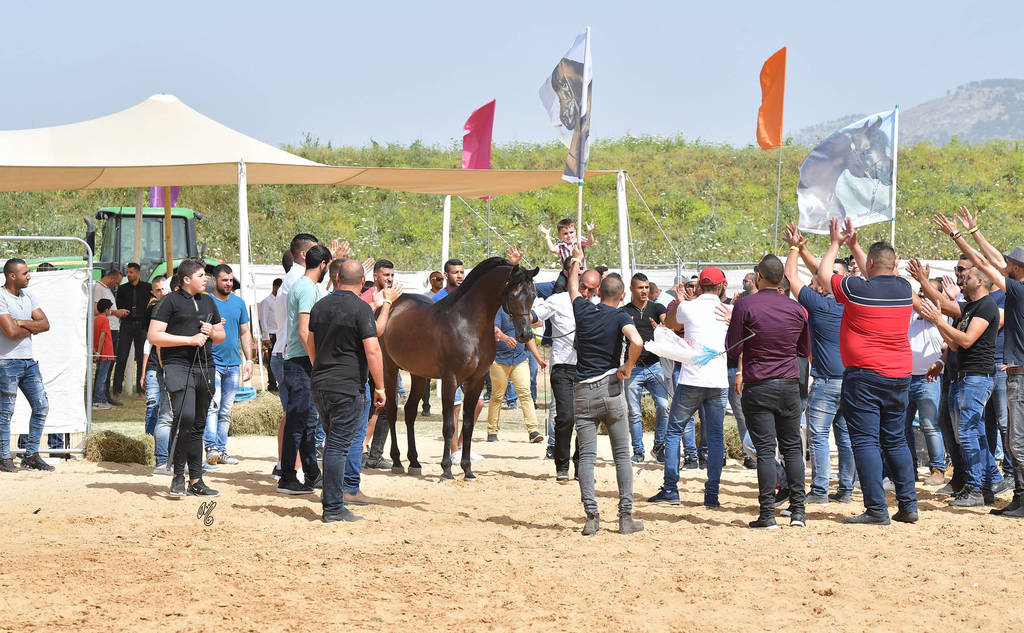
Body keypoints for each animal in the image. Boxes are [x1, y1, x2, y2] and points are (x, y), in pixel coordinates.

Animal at [379, 257, 539, 480]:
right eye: (514, 294)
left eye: (533, 294)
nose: (525, 334)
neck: (467, 323)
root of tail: (391, 306)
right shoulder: (450, 379)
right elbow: (449, 426)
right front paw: (446, 469)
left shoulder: (476, 380)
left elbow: (468, 425)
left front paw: (467, 470)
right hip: (390, 368)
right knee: (393, 411)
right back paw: (396, 461)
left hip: (418, 374)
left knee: (410, 412)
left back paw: (414, 462)